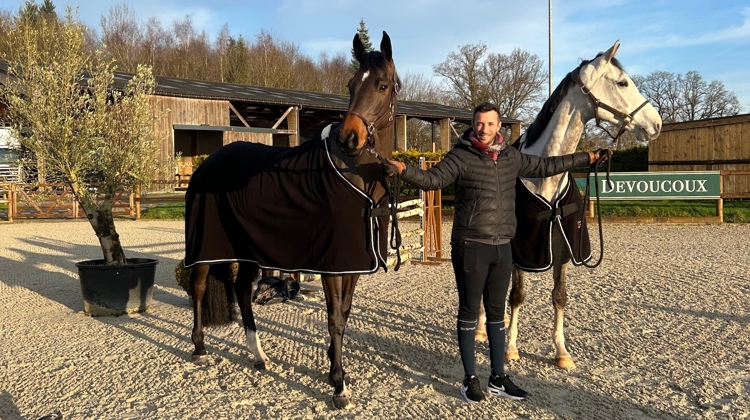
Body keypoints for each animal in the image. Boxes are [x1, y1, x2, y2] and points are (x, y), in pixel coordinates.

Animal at [184, 32, 400, 410]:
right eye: (350, 85)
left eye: (382, 85)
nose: (349, 138)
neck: (353, 174)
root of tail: (207, 162)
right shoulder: (331, 265)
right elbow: (334, 320)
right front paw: (339, 386)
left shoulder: (353, 264)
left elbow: (344, 314)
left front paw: (335, 369)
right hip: (207, 245)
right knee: (198, 287)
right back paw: (199, 349)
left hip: (248, 250)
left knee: (243, 291)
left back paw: (258, 355)